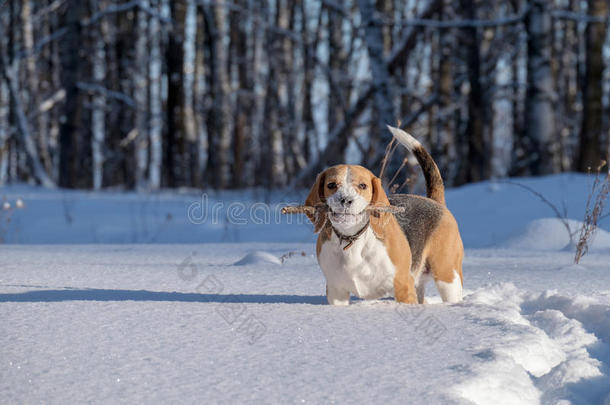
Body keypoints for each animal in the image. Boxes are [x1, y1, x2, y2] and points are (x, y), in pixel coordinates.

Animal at [304, 125, 460, 304]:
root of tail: (434, 202)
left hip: (448, 279)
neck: (352, 238)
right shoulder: (336, 291)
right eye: (331, 185)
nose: (346, 200)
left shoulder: (403, 287)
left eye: (363, 185)